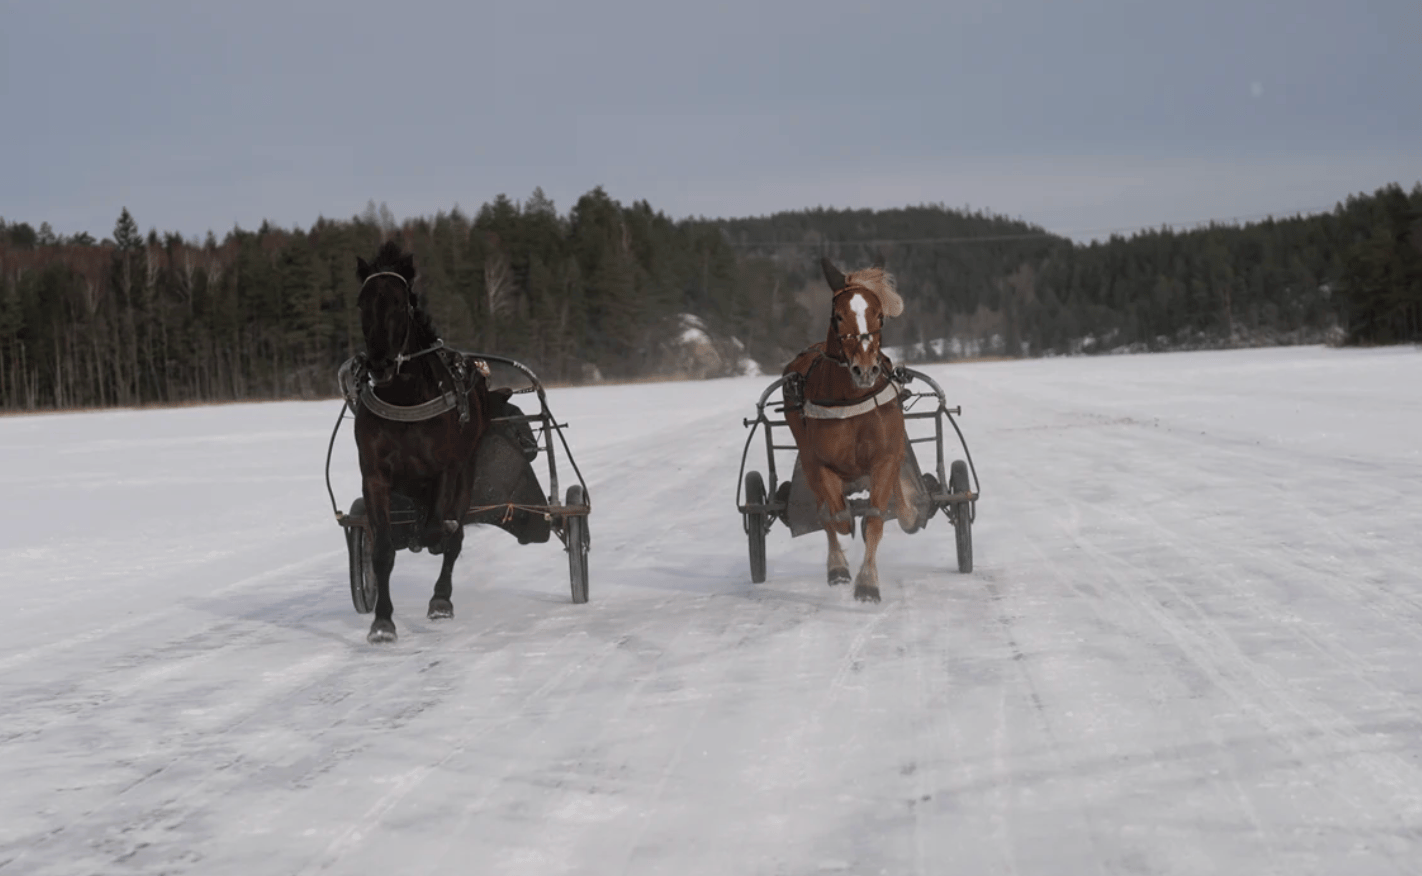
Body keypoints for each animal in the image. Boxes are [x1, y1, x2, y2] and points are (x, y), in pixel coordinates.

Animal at [349, 241, 492, 643]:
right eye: (363, 302)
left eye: (400, 303)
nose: (380, 364)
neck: (405, 399)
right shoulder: (375, 476)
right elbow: (382, 550)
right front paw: (382, 622)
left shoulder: (445, 469)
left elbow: (440, 530)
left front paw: (437, 536)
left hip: (467, 467)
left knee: (452, 534)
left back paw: (441, 596)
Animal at [782, 256, 918, 603]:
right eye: (838, 315)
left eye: (879, 316)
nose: (865, 369)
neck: (851, 397)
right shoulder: (822, 463)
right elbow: (838, 517)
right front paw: (844, 565)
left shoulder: (885, 458)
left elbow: (875, 517)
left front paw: (868, 583)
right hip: (807, 458)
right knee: (827, 513)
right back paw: (837, 567)